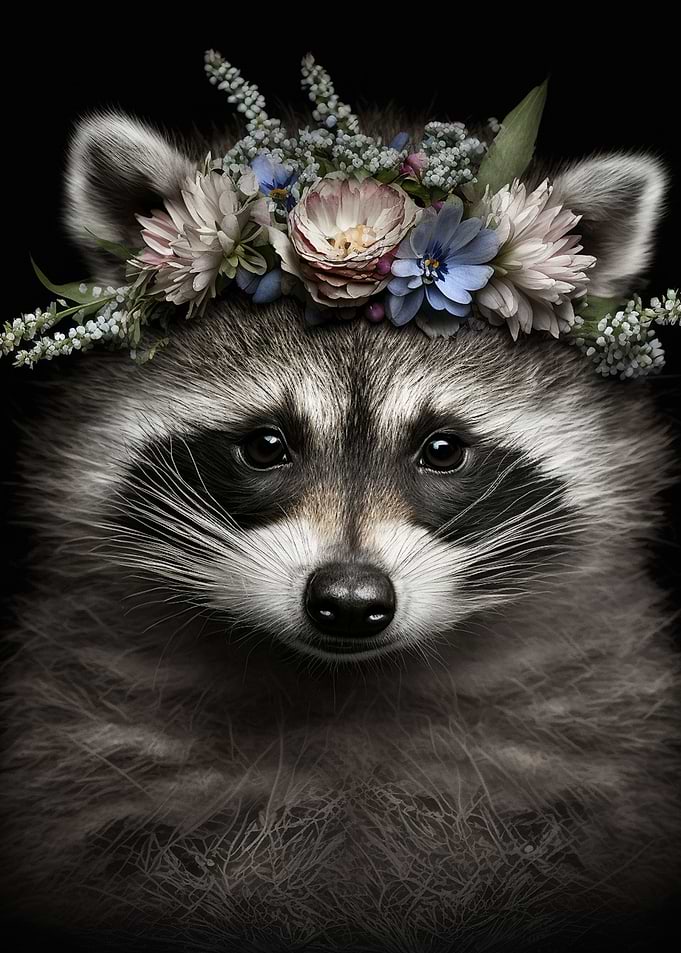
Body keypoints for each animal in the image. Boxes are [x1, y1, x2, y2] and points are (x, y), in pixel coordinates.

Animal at [1, 113, 680, 952]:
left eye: (442, 449)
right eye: (265, 444)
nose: (350, 602)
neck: (343, 684)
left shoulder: (582, 728)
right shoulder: (98, 734)